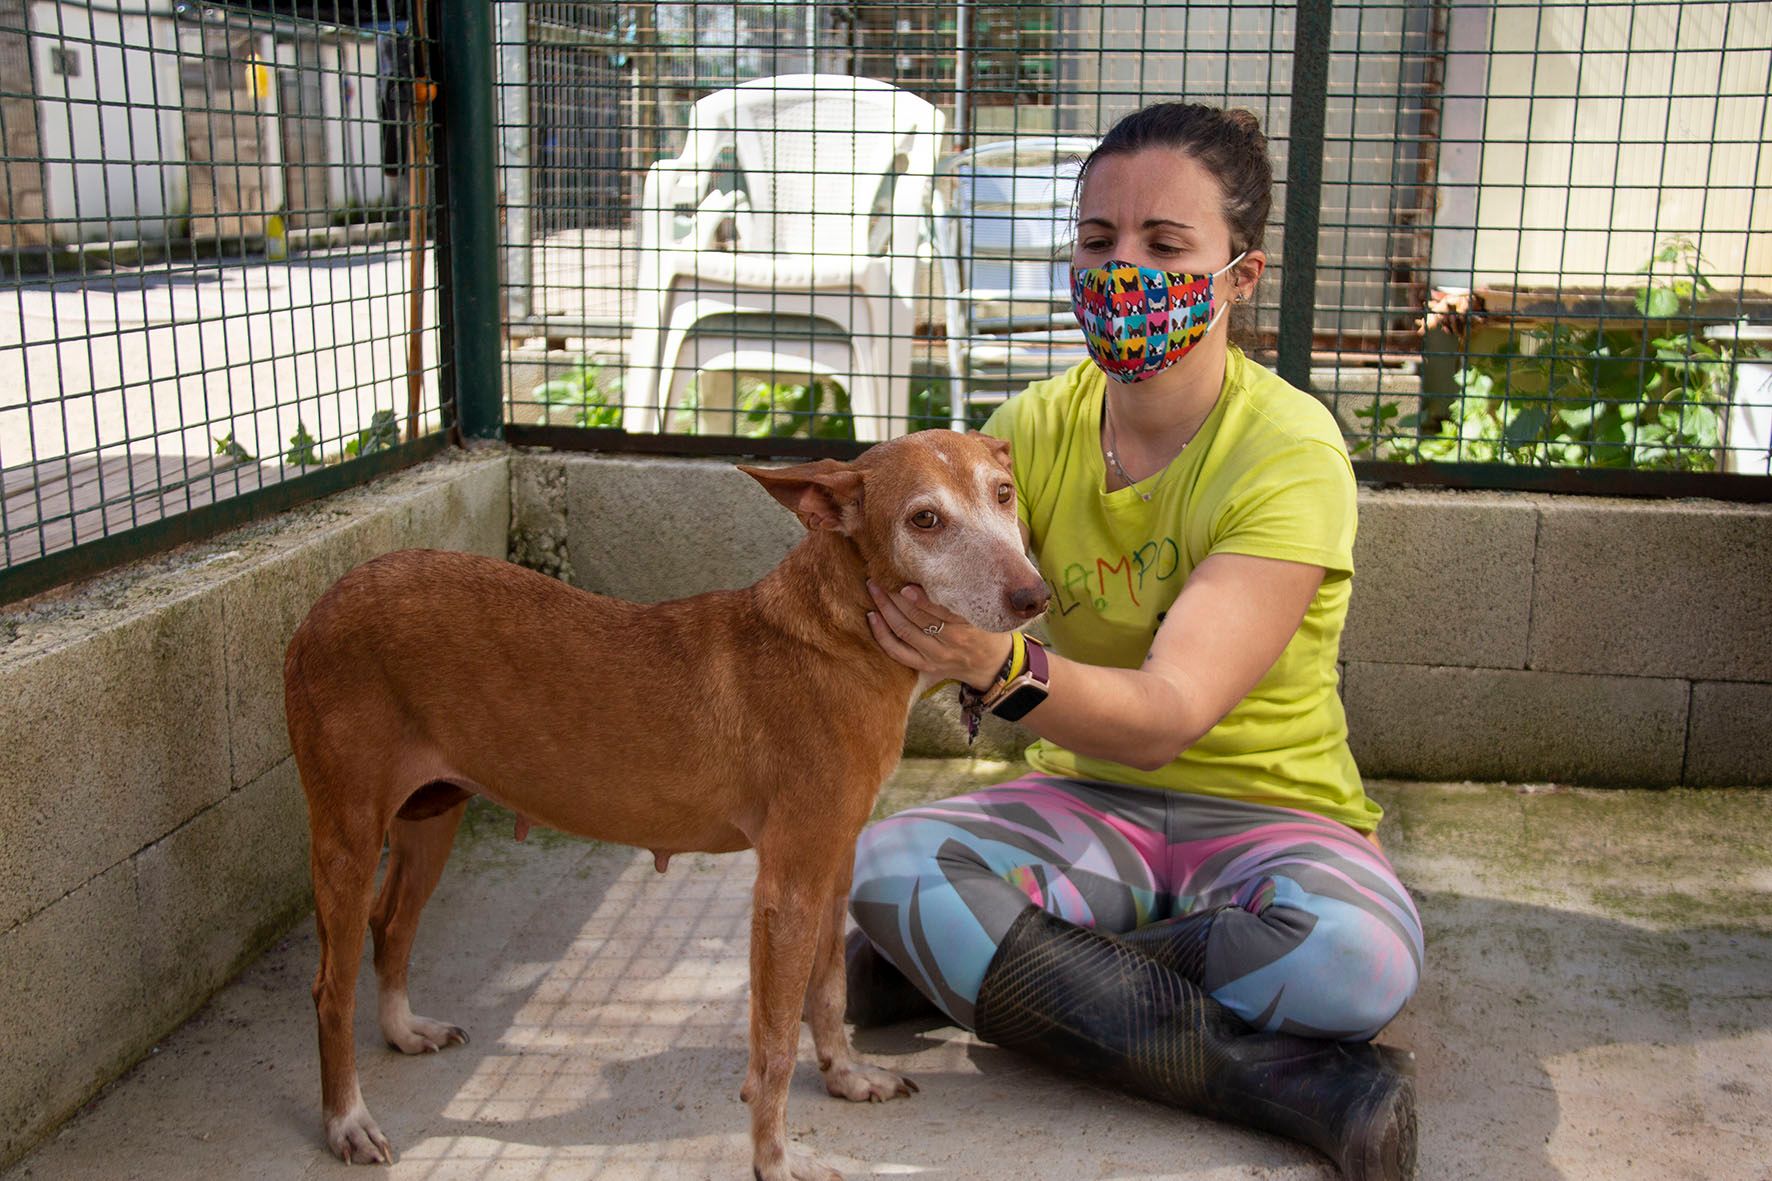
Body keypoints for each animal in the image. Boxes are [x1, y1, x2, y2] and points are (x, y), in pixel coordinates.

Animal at [283, 429, 1049, 1179]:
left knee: (392, 927)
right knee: (328, 987)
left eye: (1003, 493)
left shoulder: (833, 863)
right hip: (348, 835)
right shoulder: (787, 887)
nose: (1033, 596)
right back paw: (347, 1120)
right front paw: (774, 1157)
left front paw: (845, 1076)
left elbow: (827, 990)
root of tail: (322, 603)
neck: (835, 634)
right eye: (925, 520)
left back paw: (402, 1030)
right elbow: (774, 1042)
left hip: (433, 817)